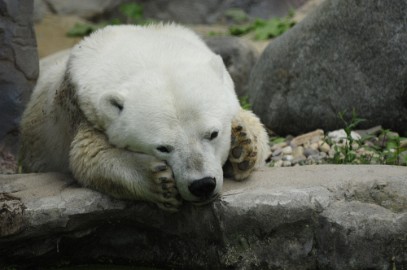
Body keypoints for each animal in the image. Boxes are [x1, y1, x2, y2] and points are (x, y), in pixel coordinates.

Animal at [19, 24, 270, 212]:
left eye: (213, 134)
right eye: (163, 148)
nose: (202, 185)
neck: (145, 52)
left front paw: (242, 145)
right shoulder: (82, 112)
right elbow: (87, 155)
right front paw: (160, 182)